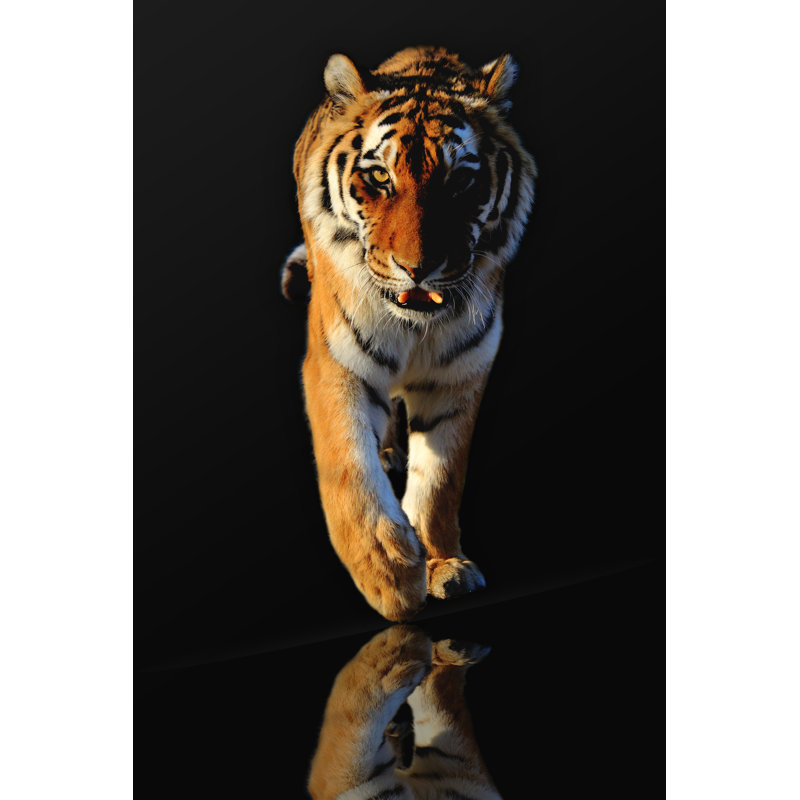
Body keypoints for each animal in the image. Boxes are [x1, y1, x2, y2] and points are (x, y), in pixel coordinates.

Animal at [283, 46, 536, 622]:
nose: (417, 268)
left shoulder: (461, 371)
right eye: (379, 177)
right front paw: (389, 573)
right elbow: (347, 465)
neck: (416, 327)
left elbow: (441, 477)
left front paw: (444, 565)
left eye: (460, 181)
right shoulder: (336, 361)